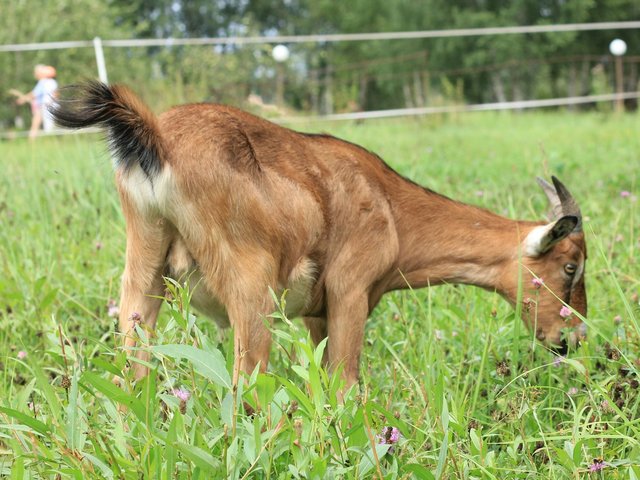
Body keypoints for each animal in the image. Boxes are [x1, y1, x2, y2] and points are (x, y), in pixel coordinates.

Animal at [52, 82, 588, 388]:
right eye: (570, 265)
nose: (572, 338)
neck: (392, 208)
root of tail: (157, 137)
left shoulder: (316, 313)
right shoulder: (350, 291)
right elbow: (345, 380)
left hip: (143, 271)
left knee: (132, 365)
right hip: (251, 287)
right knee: (246, 381)